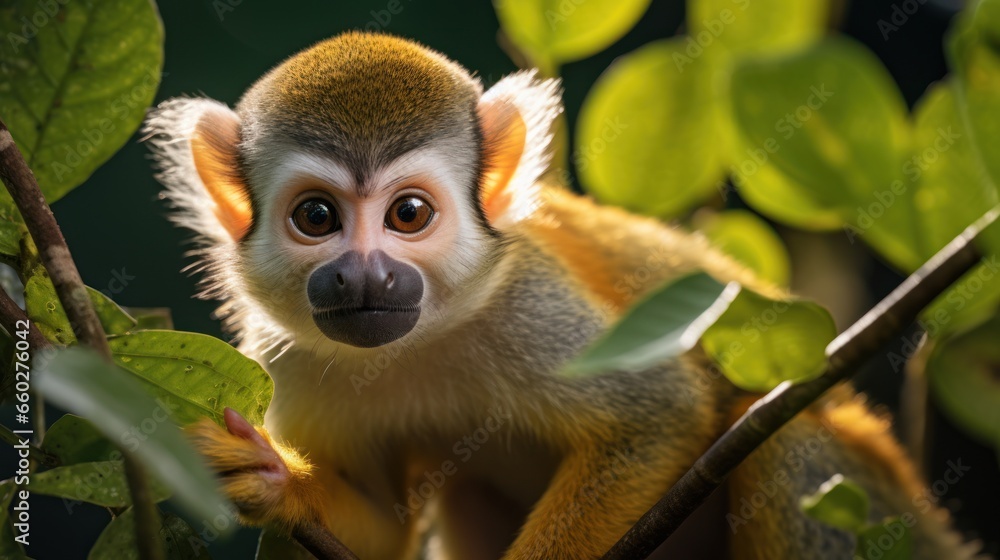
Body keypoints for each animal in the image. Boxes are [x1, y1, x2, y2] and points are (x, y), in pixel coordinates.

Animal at [144, 32, 986, 560]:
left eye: (408, 214)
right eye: (317, 218)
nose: (363, 277)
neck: (425, 339)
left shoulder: (529, 305)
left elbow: (654, 417)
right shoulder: (287, 358)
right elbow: (380, 530)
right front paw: (275, 480)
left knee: (789, 442)